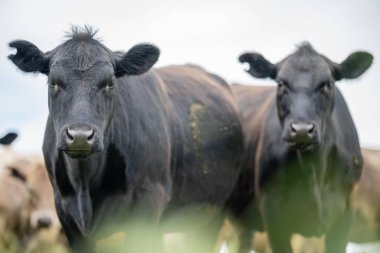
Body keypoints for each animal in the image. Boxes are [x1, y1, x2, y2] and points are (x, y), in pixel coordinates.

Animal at [8, 26, 243, 253]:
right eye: (53, 82)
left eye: (109, 83)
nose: (80, 136)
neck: (85, 184)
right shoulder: (66, 214)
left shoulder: (148, 202)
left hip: (215, 214)